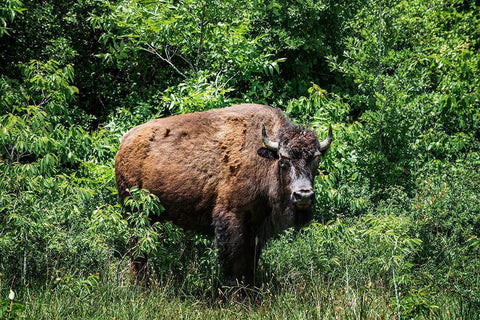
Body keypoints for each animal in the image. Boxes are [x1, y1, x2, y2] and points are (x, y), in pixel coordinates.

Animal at [115, 104, 332, 284]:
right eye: (283, 159)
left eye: (316, 159)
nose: (303, 195)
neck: (263, 159)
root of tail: (125, 142)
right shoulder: (232, 219)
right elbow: (234, 261)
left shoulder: (256, 226)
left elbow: (251, 261)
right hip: (134, 211)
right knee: (137, 248)